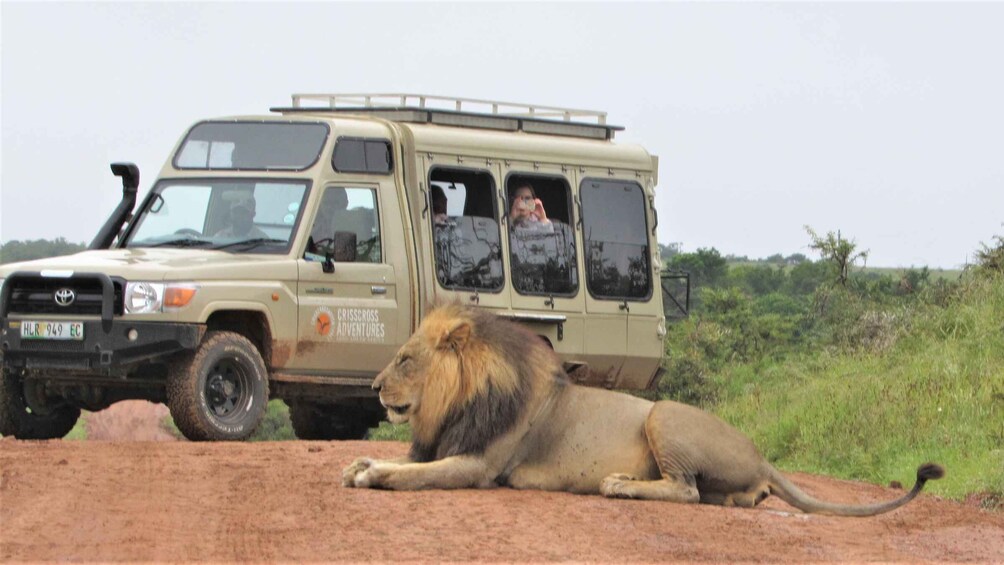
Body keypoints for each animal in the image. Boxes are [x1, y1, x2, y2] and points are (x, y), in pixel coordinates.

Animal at [343, 305, 939, 517]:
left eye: (404, 358)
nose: (373, 386)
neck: (454, 403)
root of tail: (763, 457)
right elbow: (408, 461)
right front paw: (358, 464)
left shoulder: (480, 465)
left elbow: (415, 475)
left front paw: (373, 474)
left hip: (664, 415)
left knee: (687, 490)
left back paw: (621, 485)